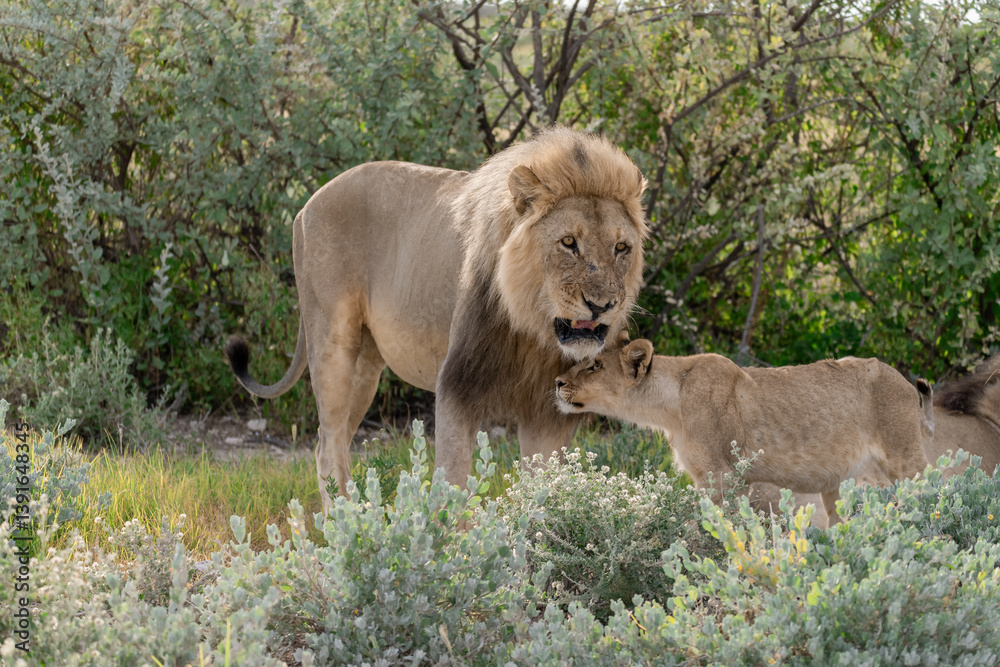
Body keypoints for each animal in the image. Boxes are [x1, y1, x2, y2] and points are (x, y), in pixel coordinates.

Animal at [226, 127, 649, 511]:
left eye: (621, 248)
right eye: (568, 243)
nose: (602, 305)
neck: (534, 331)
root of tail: (307, 204)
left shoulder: (550, 413)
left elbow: (541, 494)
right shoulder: (458, 387)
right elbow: (455, 485)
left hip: (366, 365)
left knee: (331, 442)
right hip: (332, 342)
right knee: (329, 445)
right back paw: (341, 525)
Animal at [554, 338, 932, 525]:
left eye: (594, 366)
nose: (557, 382)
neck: (670, 404)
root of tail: (903, 381)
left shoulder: (721, 476)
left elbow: (707, 526)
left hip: (904, 459)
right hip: (840, 486)